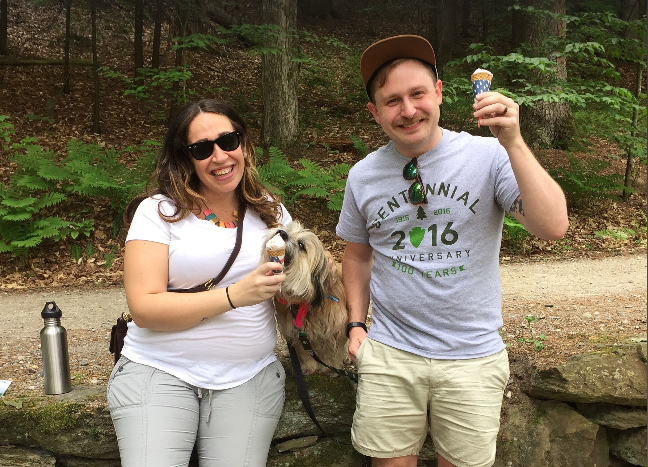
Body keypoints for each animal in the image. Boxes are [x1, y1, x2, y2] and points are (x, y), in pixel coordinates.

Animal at [262, 223, 346, 376]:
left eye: (301, 245)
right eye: (287, 228)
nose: (281, 232)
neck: (302, 301)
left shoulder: (335, 329)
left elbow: (331, 350)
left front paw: (330, 368)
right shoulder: (296, 331)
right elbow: (304, 350)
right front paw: (309, 366)